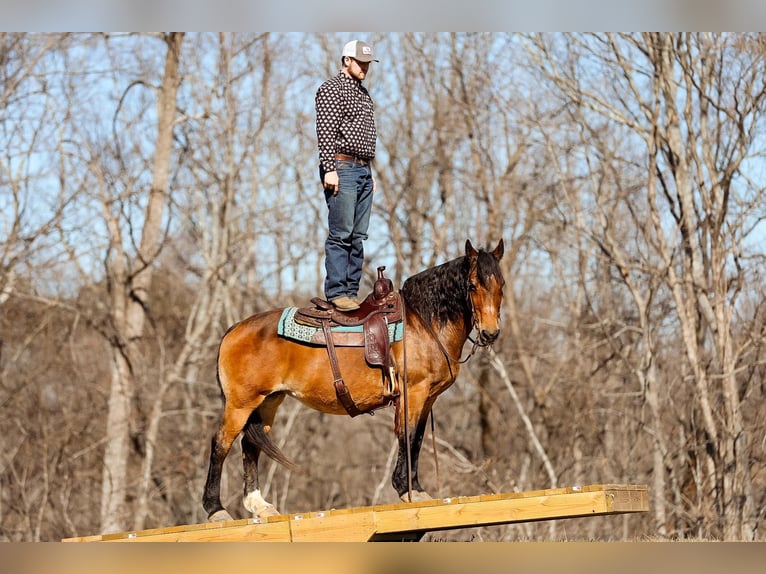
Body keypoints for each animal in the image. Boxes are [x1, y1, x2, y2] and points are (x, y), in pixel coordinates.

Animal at [201, 238, 508, 520]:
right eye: (472, 285)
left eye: (501, 285)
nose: (491, 333)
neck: (423, 322)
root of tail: (234, 329)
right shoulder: (415, 393)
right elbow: (408, 436)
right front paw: (406, 489)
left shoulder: (428, 398)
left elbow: (417, 438)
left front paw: (416, 489)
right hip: (241, 403)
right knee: (220, 443)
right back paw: (216, 509)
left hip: (267, 402)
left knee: (249, 445)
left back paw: (259, 505)